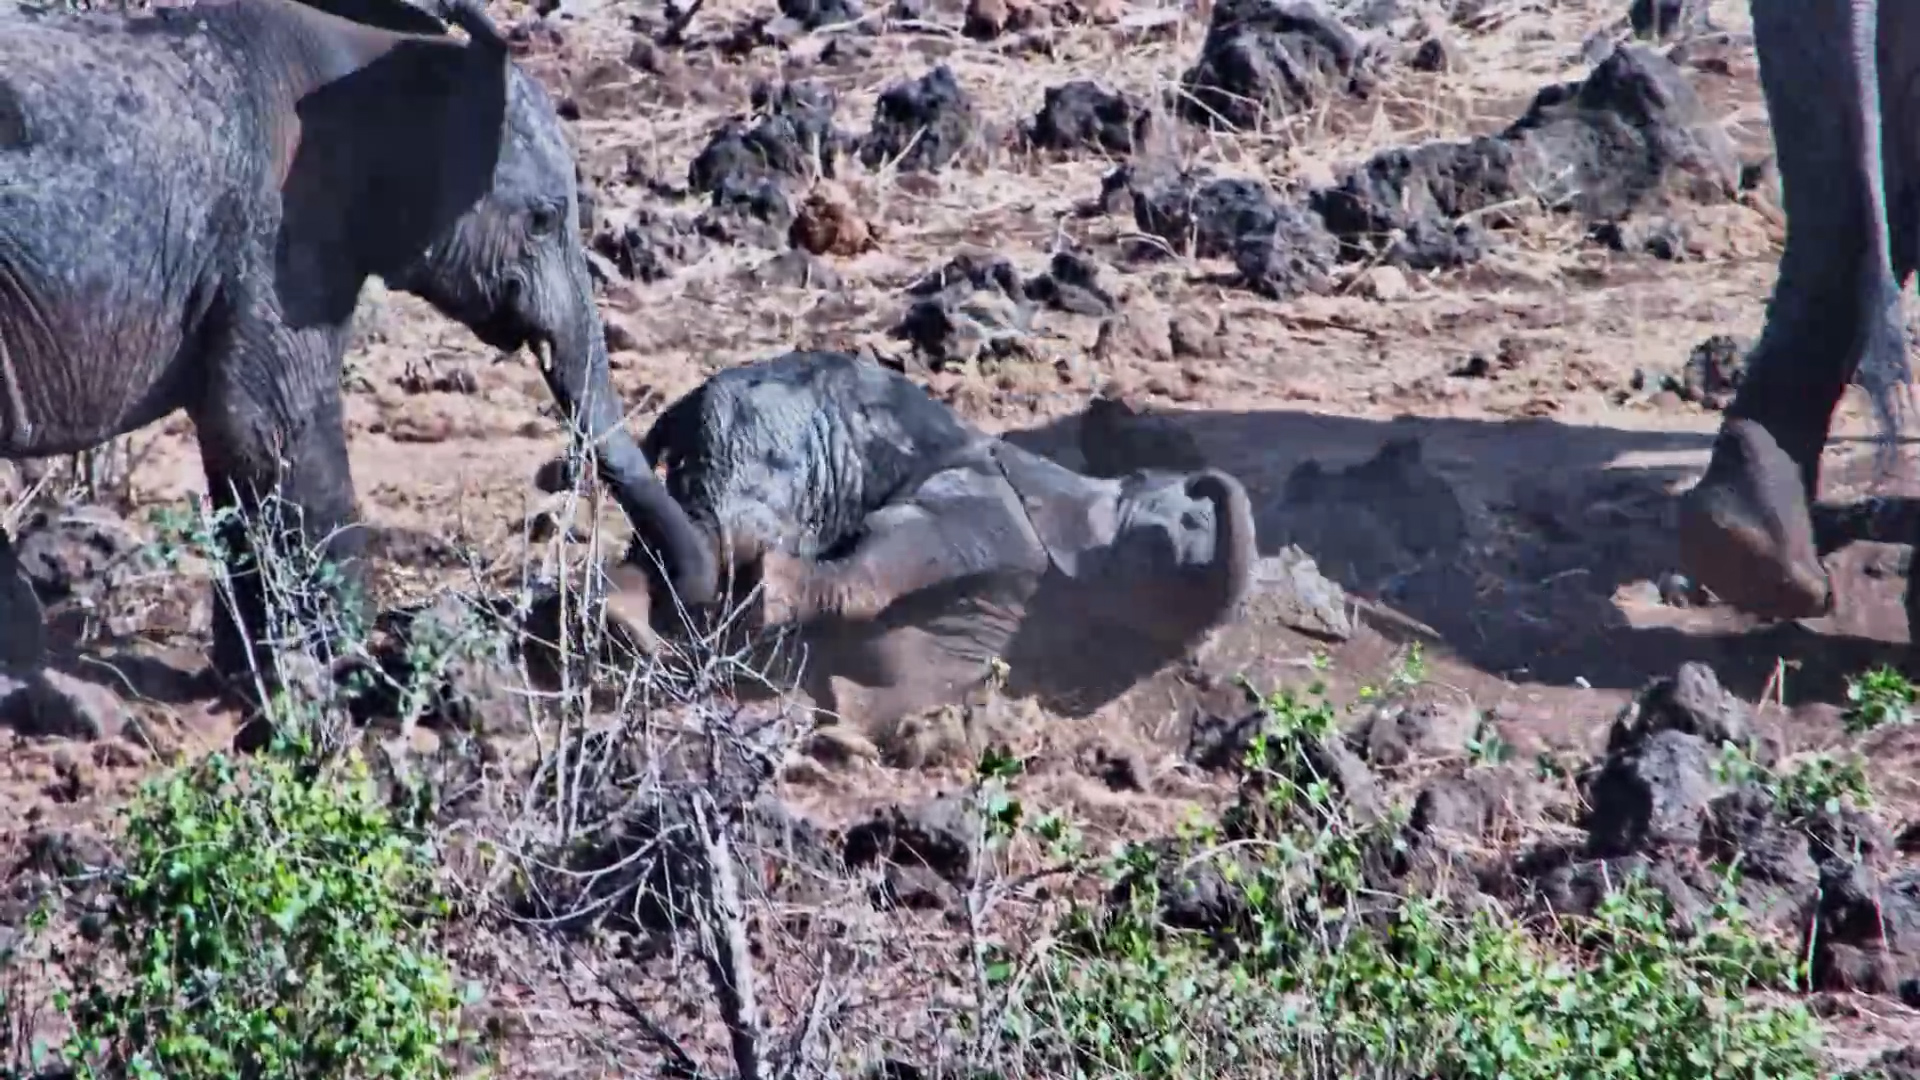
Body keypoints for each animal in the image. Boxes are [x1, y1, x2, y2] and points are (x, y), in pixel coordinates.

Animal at [0, 0, 716, 691]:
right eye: (543, 219)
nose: (647, 592)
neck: (384, 56)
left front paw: (258, 674)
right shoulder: (281, 237)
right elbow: (265, 427)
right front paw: (343, 666)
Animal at [599, 349, 1257, 734]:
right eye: (1185, 524)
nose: (1201, 479)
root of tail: (688, 401)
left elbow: (919, 672)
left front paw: (853, 732)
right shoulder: (982, 499)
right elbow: (890, 546)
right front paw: (774, 596)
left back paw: (628, 625)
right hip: (760, 445)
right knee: (723, 537)